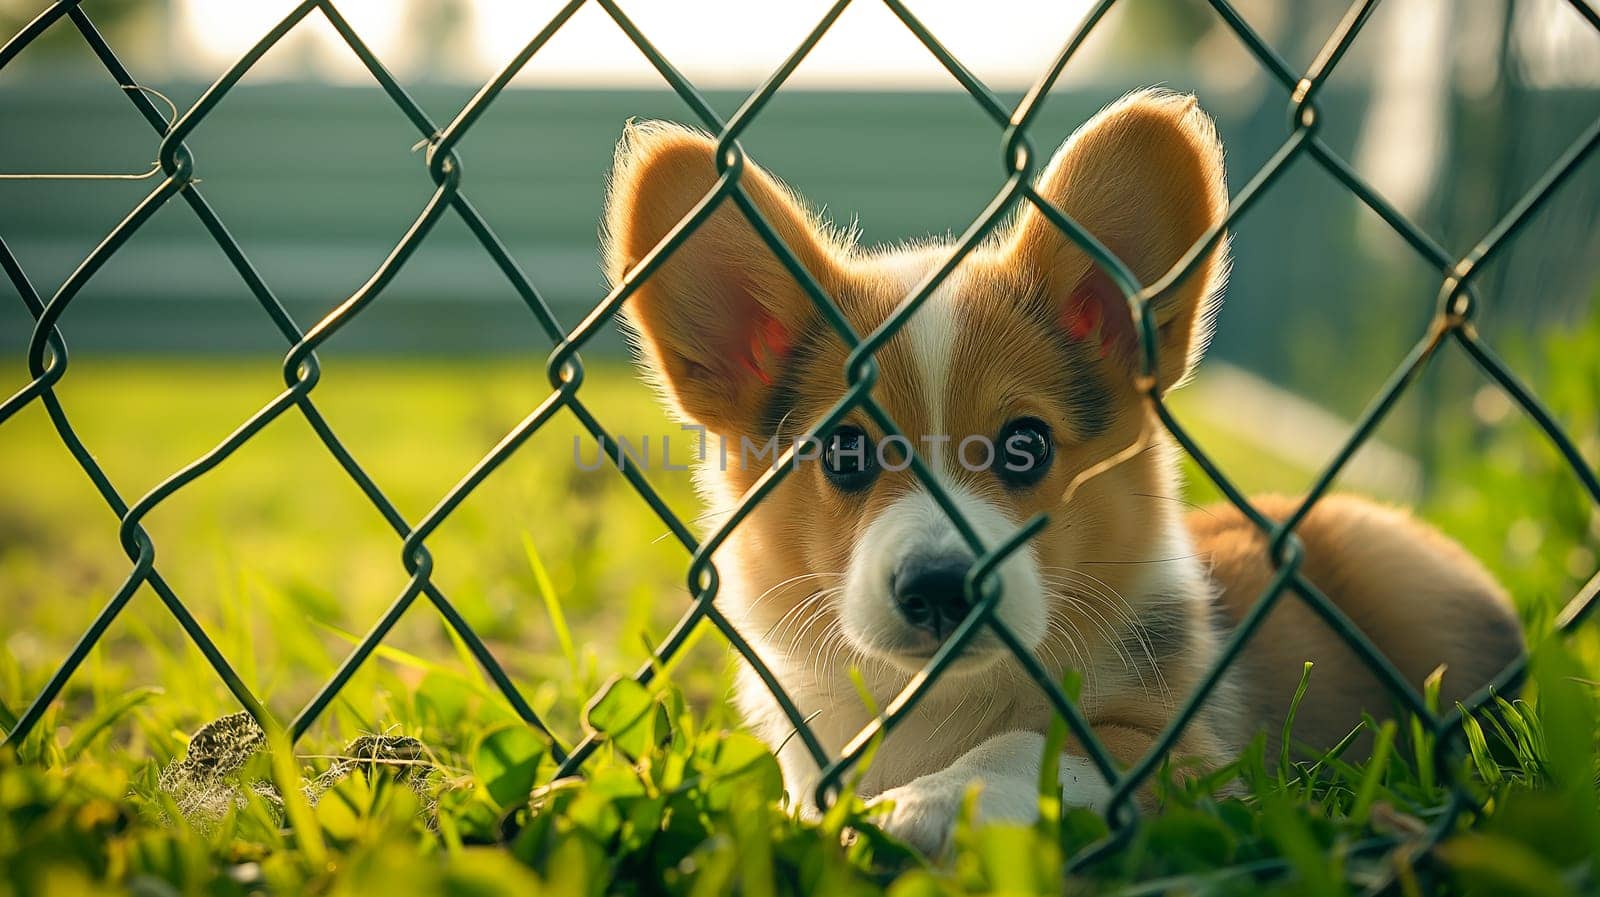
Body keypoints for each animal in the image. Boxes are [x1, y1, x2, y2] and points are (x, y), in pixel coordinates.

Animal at [601, 91, 1523, 850]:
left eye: (1027, 445)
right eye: (845, 452)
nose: (940, 588)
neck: (942, 698)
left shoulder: (1174, 751)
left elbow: (1028, 743)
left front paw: (927, 805)